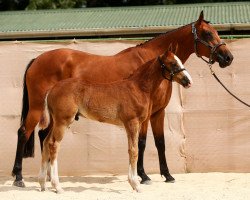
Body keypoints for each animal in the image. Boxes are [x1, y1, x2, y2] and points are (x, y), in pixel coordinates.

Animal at [38, 52, 192, 194]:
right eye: (173, 63)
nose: (188, 81)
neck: (139, 88)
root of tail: (51, 89)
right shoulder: (132, 123)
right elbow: (134, 151)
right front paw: (136, 184)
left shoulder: (132, 125)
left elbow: (131, 150)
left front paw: (134, 182)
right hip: (63, 122)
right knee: (54, 145)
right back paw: (57, 186)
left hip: (55, 122)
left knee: (46, 142)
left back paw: (43, 184)